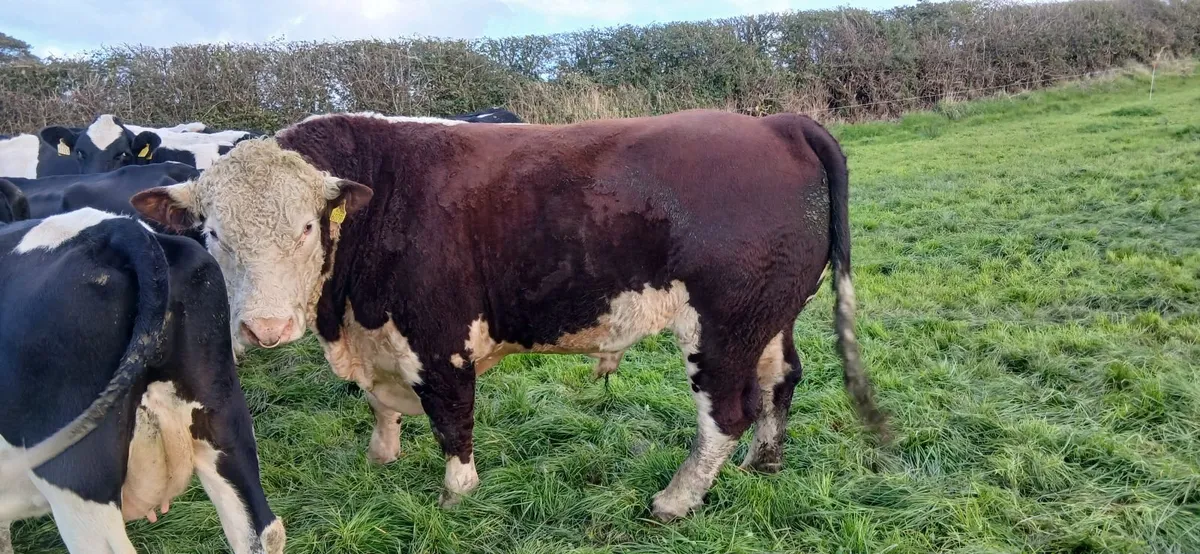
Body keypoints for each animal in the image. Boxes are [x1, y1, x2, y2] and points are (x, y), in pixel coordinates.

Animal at [131, 109, 889, 522]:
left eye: (308, 229)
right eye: (212, 234)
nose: (265, 329)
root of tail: (775, 123)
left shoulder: (440, 340)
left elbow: (452, 419)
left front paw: (457, 495)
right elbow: (379, 408)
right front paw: (380, 458)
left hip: (722, 327)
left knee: (724, 415)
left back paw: (674, 501)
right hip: (769, 316)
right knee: (781, 380)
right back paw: (766, 462)